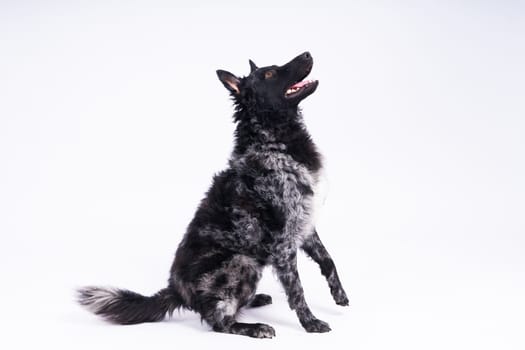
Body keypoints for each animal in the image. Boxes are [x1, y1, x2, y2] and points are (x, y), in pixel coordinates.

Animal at [78, 50, 348, 338]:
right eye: (269, 74)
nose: (307, 53)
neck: (273, 140)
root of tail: (177, 292)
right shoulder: (283, 242)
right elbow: (297, 291)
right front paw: (310, 322)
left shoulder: (304, 222)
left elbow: (328, 260)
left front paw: (339, 294)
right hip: (242, 262)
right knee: (218, 321)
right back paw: (254, 327)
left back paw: (255, 300)